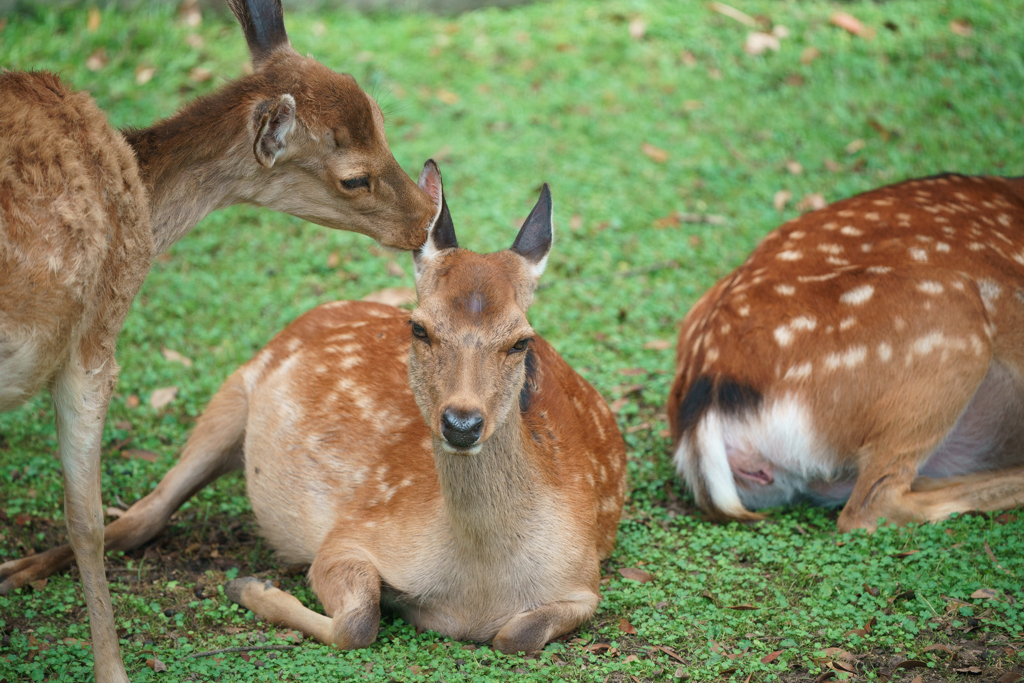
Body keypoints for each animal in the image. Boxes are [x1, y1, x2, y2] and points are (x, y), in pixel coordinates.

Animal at [0, 1, 436, 679]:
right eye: (354, 178)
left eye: (382, 121)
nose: (427, 218)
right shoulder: (95, 338)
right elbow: (86, 518)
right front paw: (112, 668)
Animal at [12, 166, 626, 655]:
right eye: (420, 328)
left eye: (522, 341)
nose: (461, 423)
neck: (479, 586)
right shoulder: (351, 535)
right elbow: (358, 621)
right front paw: (250, 587)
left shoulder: (583, 580)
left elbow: (515, 635)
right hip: (234, 390)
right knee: (141, 515)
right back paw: (14, 571)